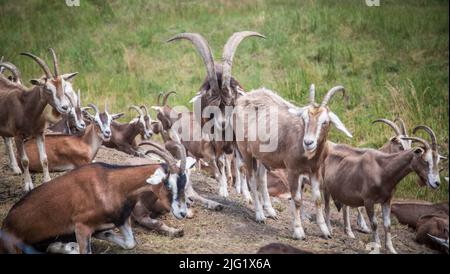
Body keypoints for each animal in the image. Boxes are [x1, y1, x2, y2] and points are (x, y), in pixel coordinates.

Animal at [0, 141, 196, 255]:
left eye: (185, 182)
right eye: (167, 184)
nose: (182, 212)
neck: (111, 184)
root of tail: (7, 223)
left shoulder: (121, 220)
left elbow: (130, 243)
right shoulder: (81, 226)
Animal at [236, 84, 352, 240]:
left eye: (325, 122)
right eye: (305, 120)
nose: (308, 142)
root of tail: (245, 97)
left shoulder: (315, 171)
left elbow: (317, 199)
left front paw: (325, 231)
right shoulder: (293, 170)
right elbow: (296, 199)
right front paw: (298, 231)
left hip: (262, 155)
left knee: (262, 178)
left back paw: (270, 211)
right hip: (246, 151)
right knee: (252, 180)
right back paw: (260, 216)